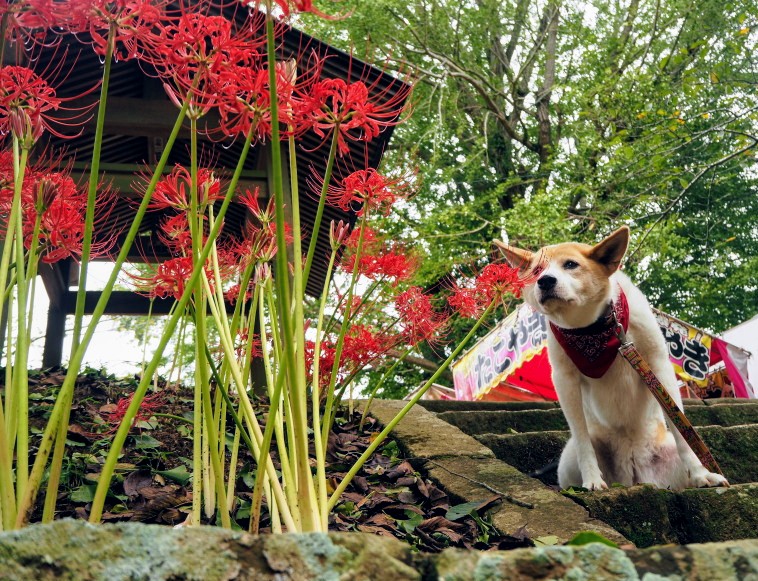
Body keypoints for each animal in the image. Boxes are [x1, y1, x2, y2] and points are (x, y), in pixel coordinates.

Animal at [496, 227, 728, 490]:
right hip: (570, 457)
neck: (592, 328)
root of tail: (631, 468)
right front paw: (592, 480)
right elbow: (582, 440)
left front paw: (701, 474)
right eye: (536, 270)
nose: (545, 281)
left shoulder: (657, 363)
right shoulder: (565, 380)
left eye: (570, 264)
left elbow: (682, 431)